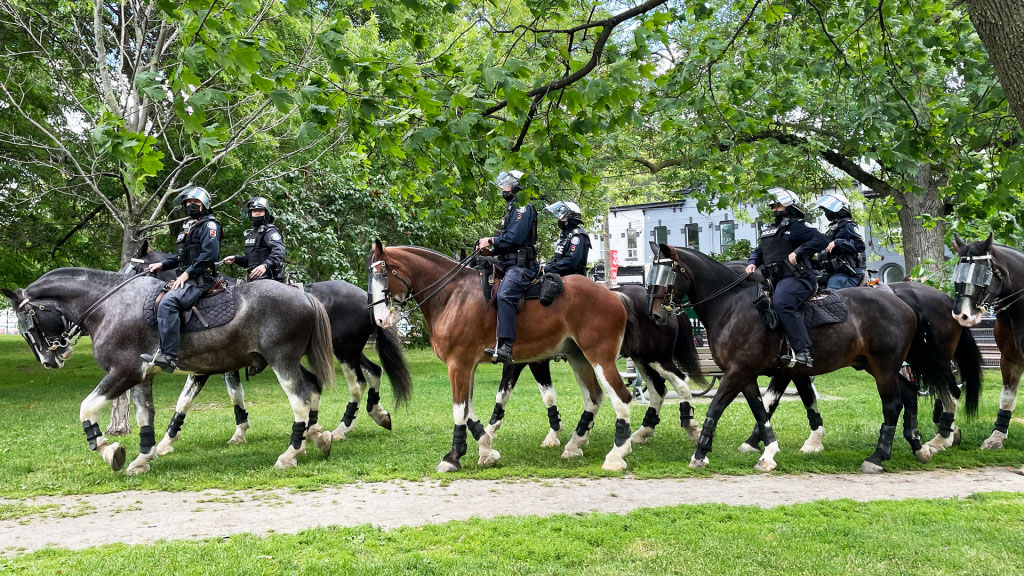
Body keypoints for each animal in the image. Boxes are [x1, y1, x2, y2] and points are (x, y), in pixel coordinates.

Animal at [7, 266, 335, 473]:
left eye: (28, 325)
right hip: (289, 361)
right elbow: (145, 417)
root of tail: (305, 295)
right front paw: (143, 457)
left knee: (300, 401)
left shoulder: (123, 372)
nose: (50, 361)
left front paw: (108, 450)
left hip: (282, 361)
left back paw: (290, 453)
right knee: (312, 387)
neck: (110, 305)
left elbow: (86, 408)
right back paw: (316, 437)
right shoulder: (142, 377)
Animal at [368, 241, 630, 471]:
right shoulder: (468, 366)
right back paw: (574, 445)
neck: (452, 295)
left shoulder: (458, 365)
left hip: (600, 358)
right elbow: (469, 411)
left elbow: (459, 410)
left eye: (382, 274)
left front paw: (452, 457)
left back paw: (616, 456)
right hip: (579, 357)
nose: (379, 319)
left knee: (622, 398)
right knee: (594, 397)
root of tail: (612, 295)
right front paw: (486, 450)